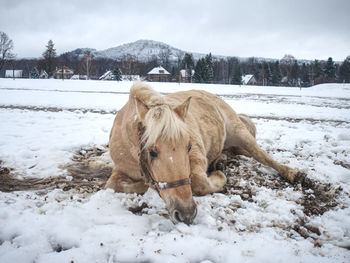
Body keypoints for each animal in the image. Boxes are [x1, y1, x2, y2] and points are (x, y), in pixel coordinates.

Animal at [104, 82, 300, 225]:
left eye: (189, 147)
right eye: (152, 152)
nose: (187, 214)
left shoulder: (197, 158)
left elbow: (199, 182)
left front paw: (220, 175)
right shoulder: (120, 171)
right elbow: (114, 184)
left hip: (239, 132)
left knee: (261, 155)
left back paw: (292, 173)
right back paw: (220, 160)